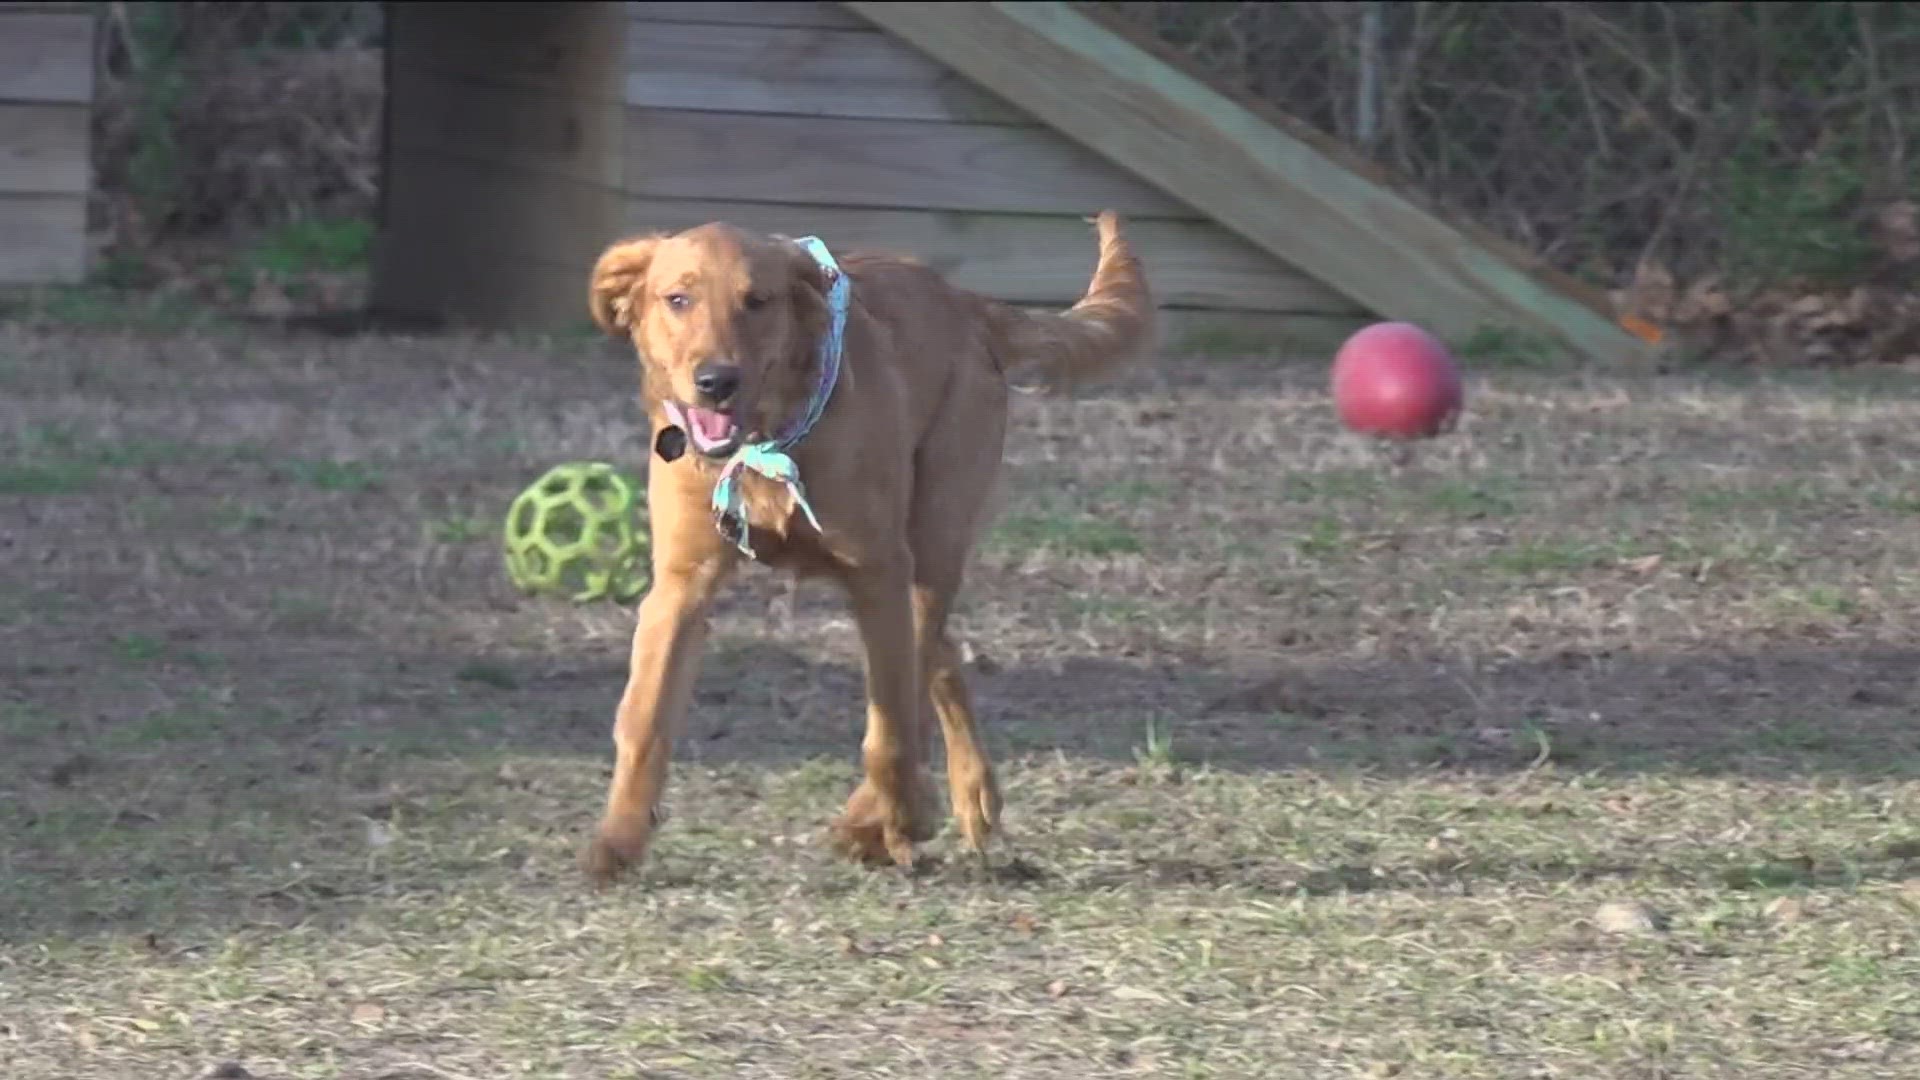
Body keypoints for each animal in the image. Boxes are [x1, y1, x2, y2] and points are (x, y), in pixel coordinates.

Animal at [579, 205, 1152, 880]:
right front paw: (618, 840)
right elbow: (644, 718)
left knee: (921, 671)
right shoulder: (680, 586)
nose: (716, 381)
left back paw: (892, 815)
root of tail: (962, 299)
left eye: (757, 301)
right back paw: (965, 796)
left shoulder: (878, 572)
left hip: (932, 541)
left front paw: (890, 819)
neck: (767, 441)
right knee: (940, 661)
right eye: (677, 299)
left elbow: (890, 730)